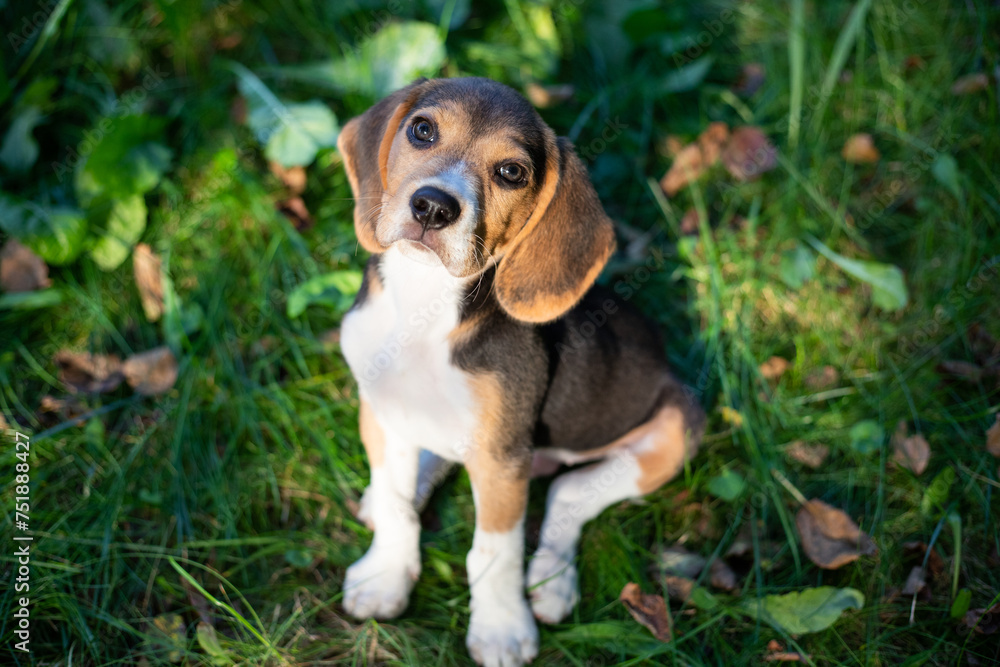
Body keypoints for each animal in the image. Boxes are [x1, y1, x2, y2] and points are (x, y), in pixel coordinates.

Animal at [336, 79, 704, 667]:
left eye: (511, 172)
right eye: (422, 130)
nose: (433, 206)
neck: (424, 308)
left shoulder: (502, 456)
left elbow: (493, 552)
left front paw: (503, 629)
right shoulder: (381, 413)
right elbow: (396, 507)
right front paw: (386, 576)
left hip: (676, 428)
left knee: (568, 494)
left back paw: (553, 583)